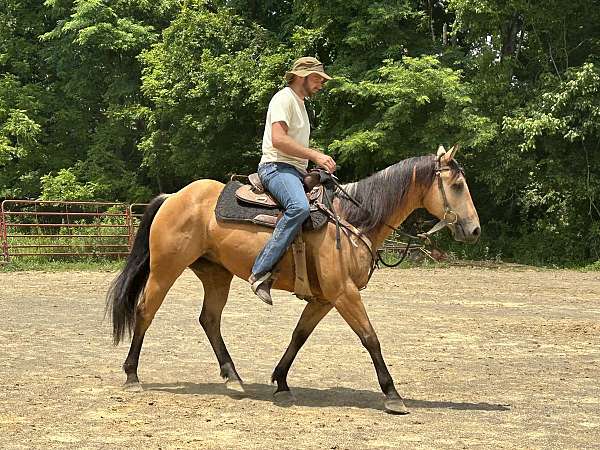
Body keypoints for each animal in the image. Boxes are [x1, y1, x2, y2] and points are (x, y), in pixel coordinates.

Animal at [106, 145, 478, 414]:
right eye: (457, 185)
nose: (474, 230)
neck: (352, 219)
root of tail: (173, 197)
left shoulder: (325, 299)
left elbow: (299, 336)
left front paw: (281, 382)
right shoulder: (344, 293)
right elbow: (370, 338)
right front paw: (392, 395)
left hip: (216, 275)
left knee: (209, 319)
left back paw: (233, 378)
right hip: (165, 269)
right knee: (145, 311)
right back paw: (132, 375)